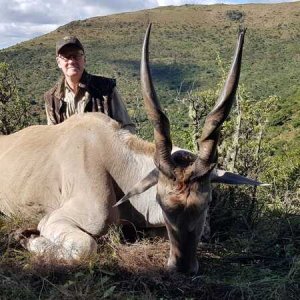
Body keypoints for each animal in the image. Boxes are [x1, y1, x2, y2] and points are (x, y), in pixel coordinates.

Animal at [0, 25, 264, 274]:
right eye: (160, 201)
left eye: (207, 202)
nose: (182, 267)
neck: (113, 160)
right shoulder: (55, 219)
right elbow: (87, 246)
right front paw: (23, 237)